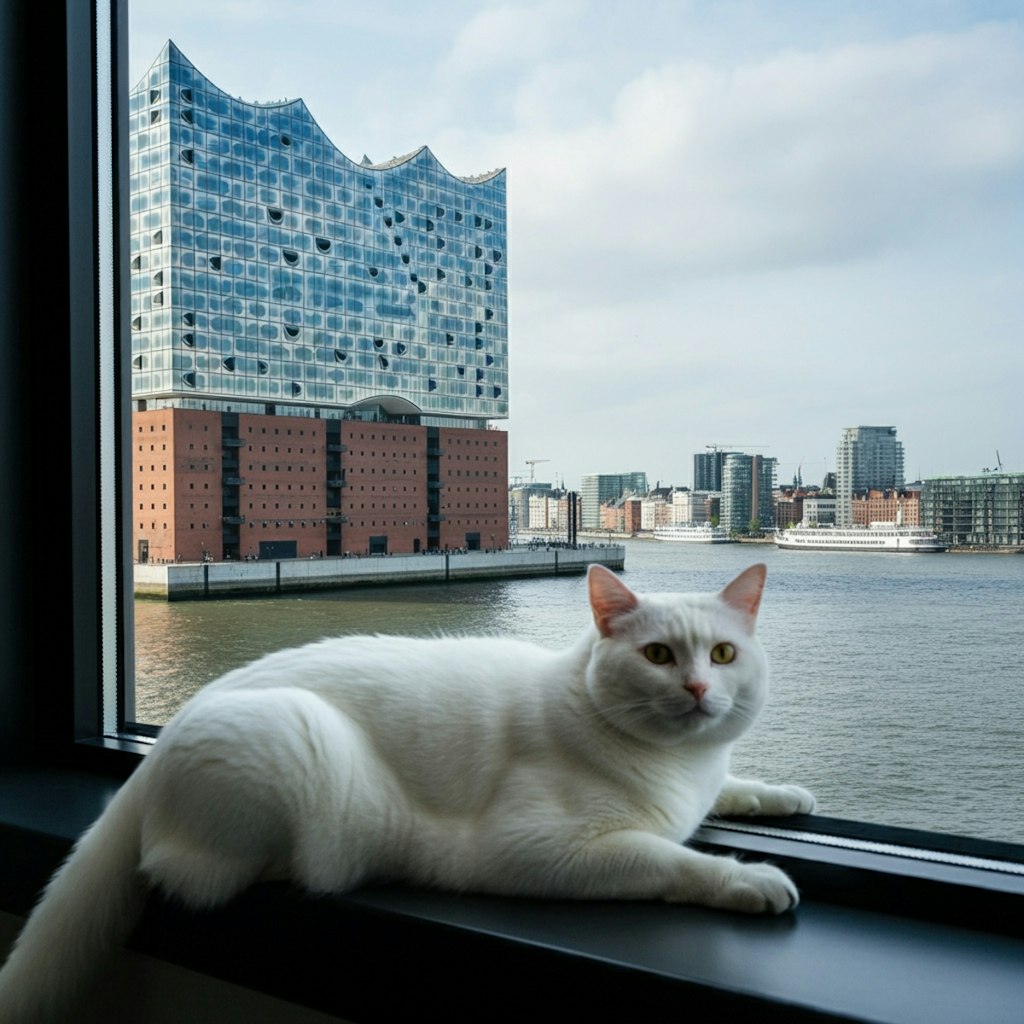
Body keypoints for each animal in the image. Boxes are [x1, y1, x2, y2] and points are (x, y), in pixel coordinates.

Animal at [0, 565, 815, 1019]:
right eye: (657, 655)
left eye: (722, 653)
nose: (699, 689)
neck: (678, 767)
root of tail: (155, 748)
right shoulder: (537, 850)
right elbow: (671, 859)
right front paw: (755, 881)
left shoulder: (705, 780)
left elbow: (731, 791)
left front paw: (785, 797)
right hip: (296, 747)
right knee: (186, 872)